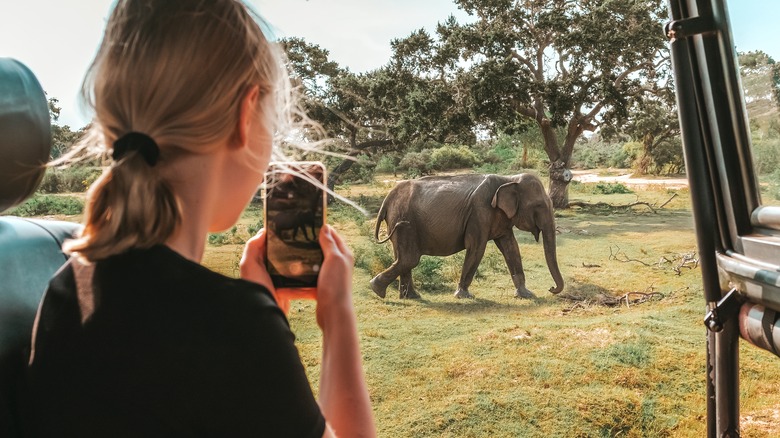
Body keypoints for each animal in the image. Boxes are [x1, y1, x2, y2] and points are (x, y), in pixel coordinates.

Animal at [368, 173, 564, 300]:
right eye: (538, 206)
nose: (551, 288)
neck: (509, 179)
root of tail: (387, 199)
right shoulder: (480, 211)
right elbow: (477, 247)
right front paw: (463, 296)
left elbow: (511, 248)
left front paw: (526, 295)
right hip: (403, 221)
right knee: (409, 258)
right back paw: (377, 289)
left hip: (399, 222)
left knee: (403, 258)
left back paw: (410, 297)